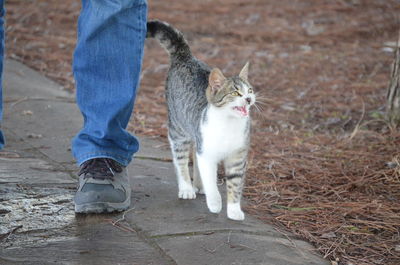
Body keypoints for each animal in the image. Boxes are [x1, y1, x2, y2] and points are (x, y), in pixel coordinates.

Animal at [147, 19, 256, 220]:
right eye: (235, 93)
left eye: (250, 90)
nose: (248, 99)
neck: (229, 124)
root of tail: (186, 57)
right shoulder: (207, 152)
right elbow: (211, 180)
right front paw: (214, 203)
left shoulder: (237, 156)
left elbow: (235, 184)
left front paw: (234, 210)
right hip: (178, 129)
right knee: (181, 159)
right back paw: (187, 188)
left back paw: (198, 185)